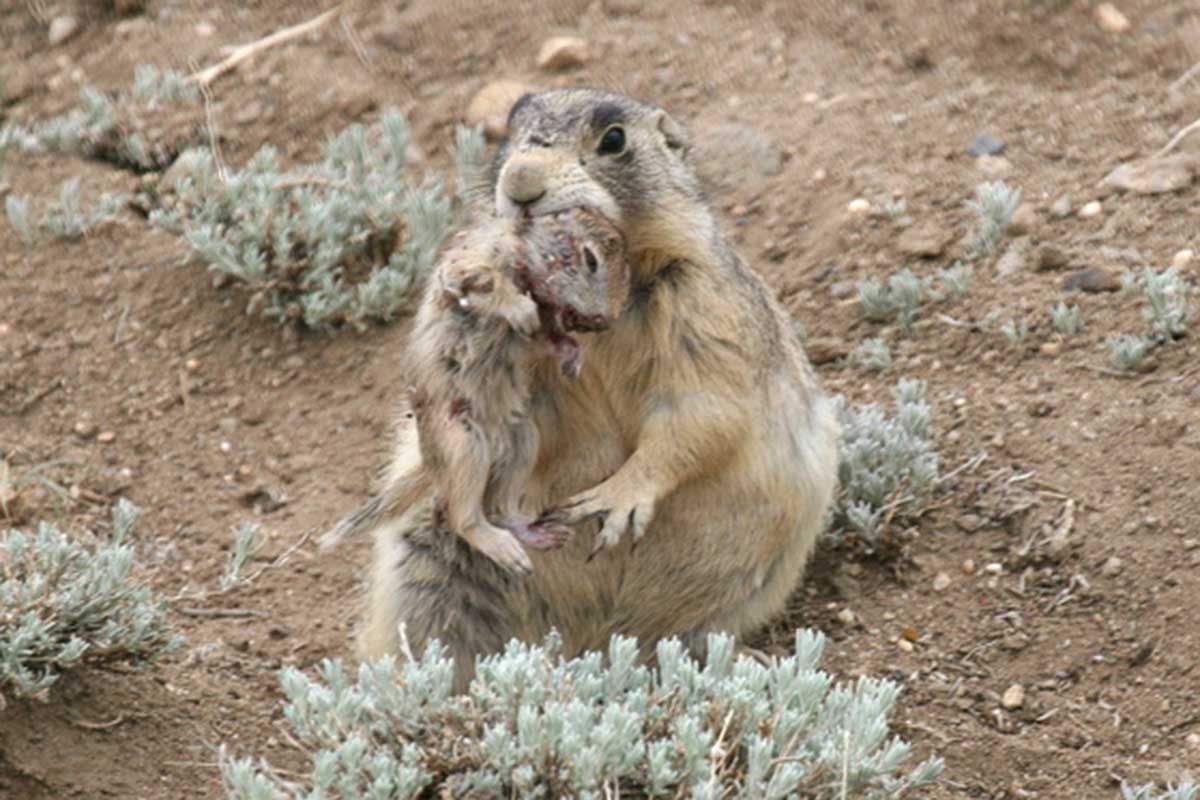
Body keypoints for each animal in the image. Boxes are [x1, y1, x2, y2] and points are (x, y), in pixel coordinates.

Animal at [323, 207, 630, 575]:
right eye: (590, 259)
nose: (604, 319)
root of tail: (432, 464)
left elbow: (547, 339)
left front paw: (572, 358)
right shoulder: (472, 262)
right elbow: (488, 283)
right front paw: (521, 309)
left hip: (522, 440)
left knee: (500, 509)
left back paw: (540, 535)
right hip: (465, 446)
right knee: (462, 518)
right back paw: (509, 553)